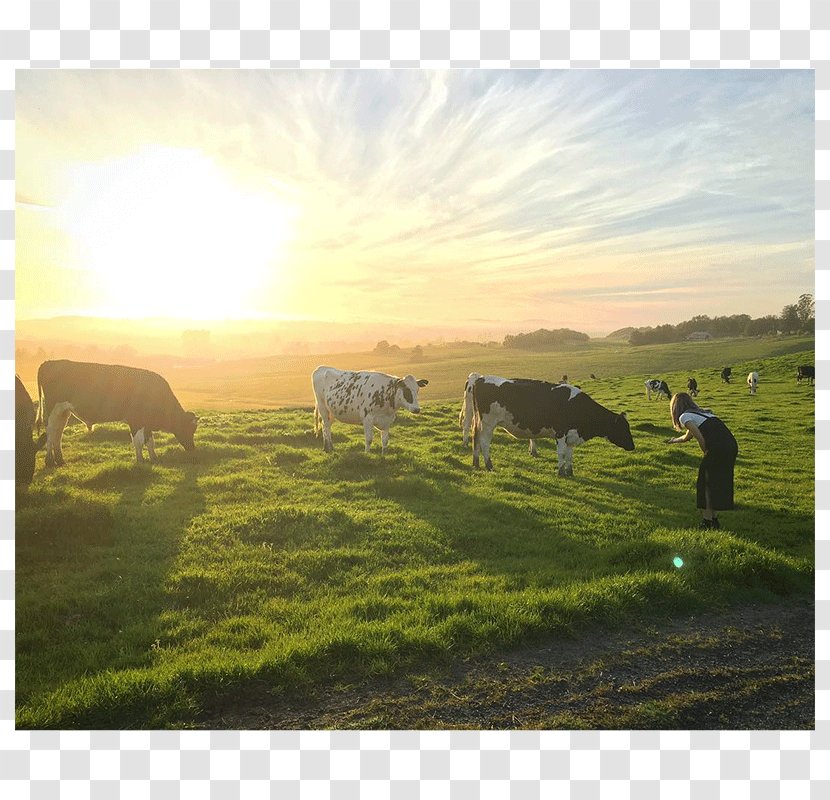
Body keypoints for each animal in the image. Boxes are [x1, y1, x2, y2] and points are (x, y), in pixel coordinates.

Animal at [36, 360, 199, 466]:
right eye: (189, 429)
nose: (192, 449)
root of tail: (48, 362)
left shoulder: (146, 423)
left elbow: (150, 442)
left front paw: (154, 459)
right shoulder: (135, 421)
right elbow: (138, 442)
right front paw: (141, 461)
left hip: (63, 412)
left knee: (58, 433)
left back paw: (60, 460)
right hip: (53, 409)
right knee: (51, 432)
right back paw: (49, 460)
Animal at [474, 378, 636, 478]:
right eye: (622, 428)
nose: (633, 446)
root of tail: (481, 378)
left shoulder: (572, 435)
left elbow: (570, 455)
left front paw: (570, 472)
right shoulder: (560, 433)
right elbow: (562, 453)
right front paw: (561, 473)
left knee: (476, 439)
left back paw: (476, 464)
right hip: (488, 423)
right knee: (484, 442)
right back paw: (489, 465)